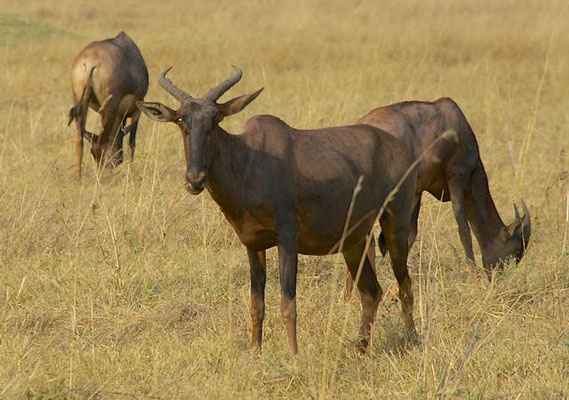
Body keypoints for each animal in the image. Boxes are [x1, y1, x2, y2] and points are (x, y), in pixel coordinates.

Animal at [68, 33, 149, 177]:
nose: (119, 161)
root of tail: (90, 62)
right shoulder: (137, 110)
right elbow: (132, 142)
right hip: (109, 109)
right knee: (102, 142)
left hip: (80, 103)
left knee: (80, 141)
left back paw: (79, 177)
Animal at [137, 66, 418, 356]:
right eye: (181, 119)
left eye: (215, 119)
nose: (195, 179)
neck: (249, 158)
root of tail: (402, 150)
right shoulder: (253, 244)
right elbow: (256, 304)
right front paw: (255, 351)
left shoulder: (287, 237)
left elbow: (287, 302)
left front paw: (294, 354)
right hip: (353, 241)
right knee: (371, 291)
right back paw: (360, 348)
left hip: (395, 223)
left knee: (405, 286)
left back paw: (412, 340)